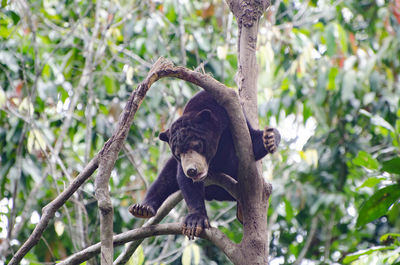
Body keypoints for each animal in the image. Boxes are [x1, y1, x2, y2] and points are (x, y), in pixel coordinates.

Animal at [130, 90, 280, 237]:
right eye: (178, 153)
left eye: (197, 146)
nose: (192, 170)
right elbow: (184, 180)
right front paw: (195, 221)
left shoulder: (237, 122)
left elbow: (253, 142)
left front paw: (269, 138)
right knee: (165, 177)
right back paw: (142, 208)